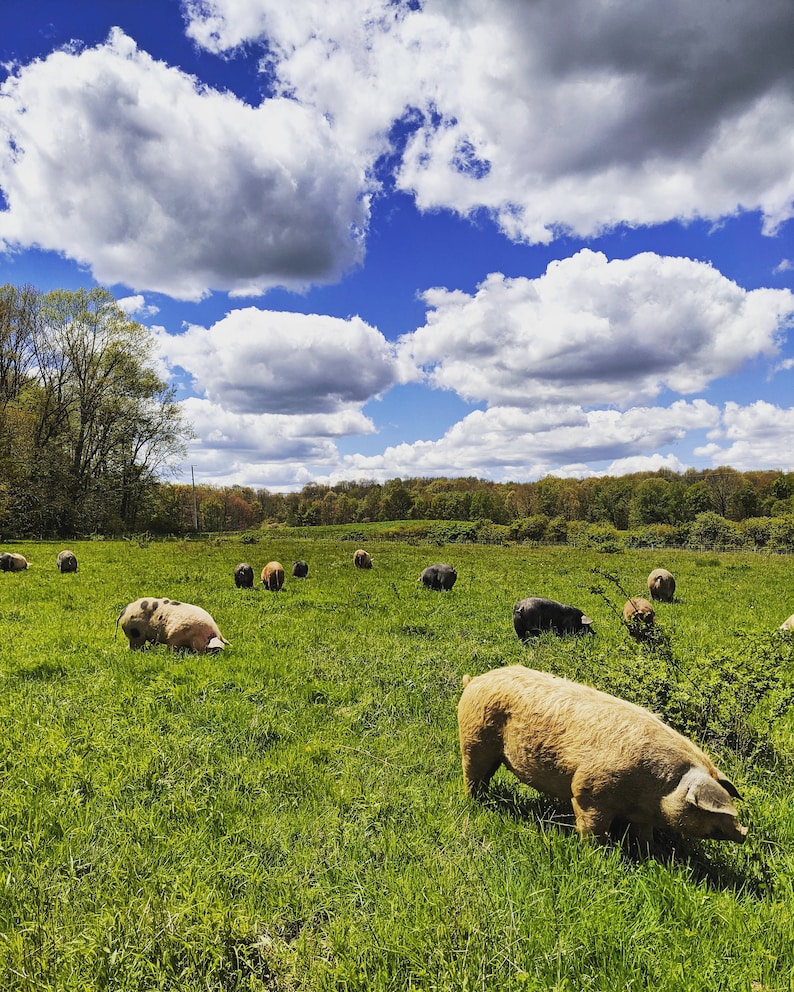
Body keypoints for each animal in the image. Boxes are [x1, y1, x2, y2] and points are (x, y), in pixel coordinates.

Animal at [458, 665, 746, 845]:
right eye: (711, 809)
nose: (744, 832)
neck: (656, 789)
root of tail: (475, 681)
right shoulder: (589, 790)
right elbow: (591, 824)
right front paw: (599, 853)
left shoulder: (643, 814)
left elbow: (645, 834)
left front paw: (650, 851)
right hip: (474, 739)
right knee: (472, 774)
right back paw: (477, 802)